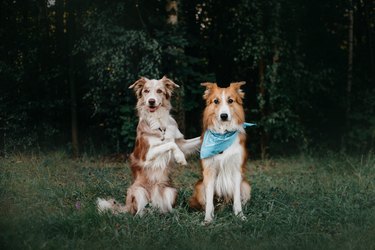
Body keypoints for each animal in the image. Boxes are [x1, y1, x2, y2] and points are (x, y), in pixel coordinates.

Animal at [98, 75, 201, 215]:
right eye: (146, 91)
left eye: (159, 91)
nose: (151, 101)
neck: (159, 123)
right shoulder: (147, 155)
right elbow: (169, 144)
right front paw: (180, 158)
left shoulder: (182, 143)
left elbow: (192, 140)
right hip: (138, 192)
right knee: (138, 213)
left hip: (170, 191)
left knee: (165, 208)